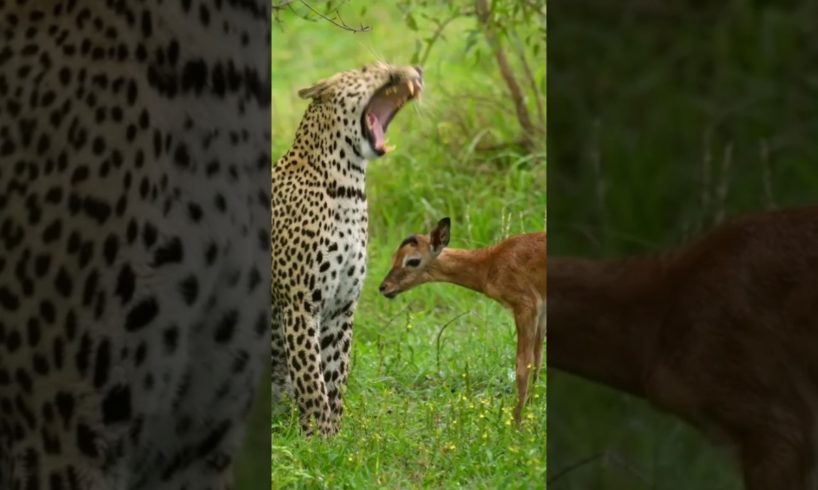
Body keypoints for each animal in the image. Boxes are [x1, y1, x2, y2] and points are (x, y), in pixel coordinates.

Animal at [272, 62, 424, 436]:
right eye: (372, 68)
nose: (417, 69)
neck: (349, 187)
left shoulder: (342, 306)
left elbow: (334, 375)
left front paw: (335, 437)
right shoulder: (300, 305)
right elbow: (312, 379)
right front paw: (318, 438)